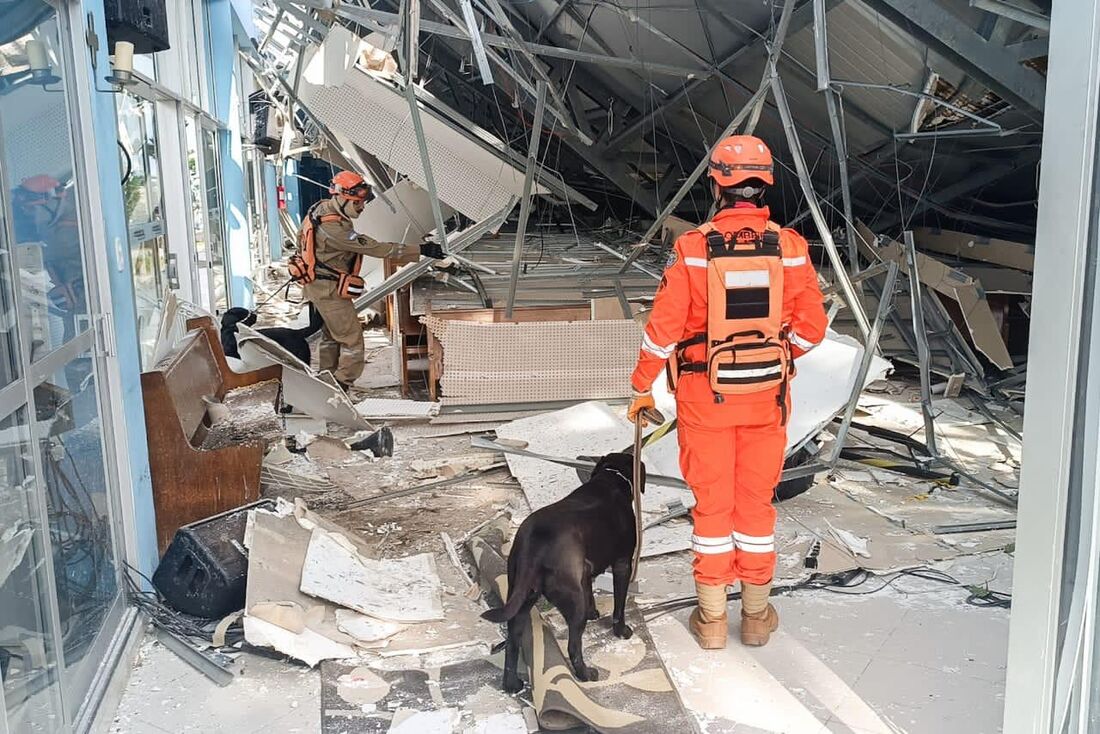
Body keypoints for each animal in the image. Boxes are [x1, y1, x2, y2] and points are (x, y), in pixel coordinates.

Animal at [481, 451, 642, 691]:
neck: (611, 476)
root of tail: (535, 544)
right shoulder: (623, 564)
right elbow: (619, 607)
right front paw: (621, 631)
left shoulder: (584, 571)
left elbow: (589, 590)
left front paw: (594, 612)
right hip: (572, 603)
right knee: (573, 647)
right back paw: (586, 674)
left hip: (520, 598)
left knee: (512, 642)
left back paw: (512, 684)